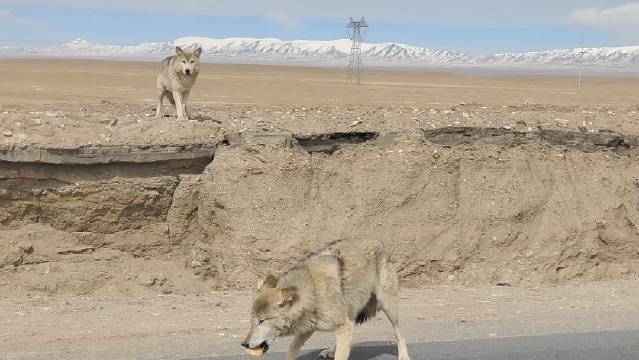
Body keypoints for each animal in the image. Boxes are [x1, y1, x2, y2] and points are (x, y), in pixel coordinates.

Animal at [240, 239, 410, 360]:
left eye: (262, 321)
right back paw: (331, 351)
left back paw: (403, 356)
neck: (313, 291)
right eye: (252, 321)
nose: (244, 343)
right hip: (349, 314)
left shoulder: (339, 325)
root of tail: (379, 243)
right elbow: (291, 350)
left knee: (399, 333)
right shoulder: (308, 328)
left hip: (387, 306)